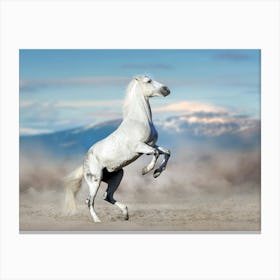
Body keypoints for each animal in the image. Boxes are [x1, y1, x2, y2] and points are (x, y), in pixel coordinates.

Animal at [64, 75, 171, 223]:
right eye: (148, 81)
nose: (166, 90)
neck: (140, 120)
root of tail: (84, 161)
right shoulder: (140, 147)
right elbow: (156, 153)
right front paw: (146, 170)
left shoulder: (151, 144)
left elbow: (167, 152)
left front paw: (157, 173)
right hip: (95, 180)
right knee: (90, 201)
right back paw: (97, 220)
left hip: (117, 175)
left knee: (106, 196)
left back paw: (125, 214)